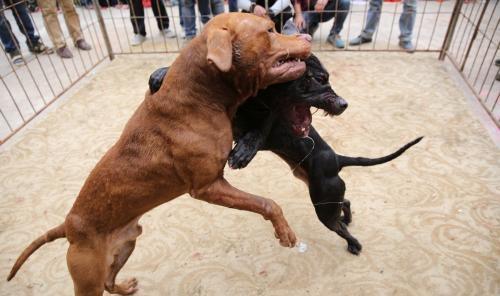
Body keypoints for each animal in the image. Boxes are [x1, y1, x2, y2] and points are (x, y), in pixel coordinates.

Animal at [7, 12, 310, 294]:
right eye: (270, 30)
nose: (306, 36)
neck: (200, 95)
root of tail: (69, 227)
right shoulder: (208, 187)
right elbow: (267, 203)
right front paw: (284, 231)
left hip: (127, 244)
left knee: (109, 281)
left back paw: (125, 287)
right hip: (87, 278)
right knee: (98, 284)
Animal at [148, 55, 422, 254]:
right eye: (317, 78)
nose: (343, 104)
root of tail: (336, 159)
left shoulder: (270, 116)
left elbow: (259, 130)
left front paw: (244, 151)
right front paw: (159, 75)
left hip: (323, 205)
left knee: (340, 226)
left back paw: (354, 244)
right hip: (322, 194)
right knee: (345, 202)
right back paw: (348, 218)